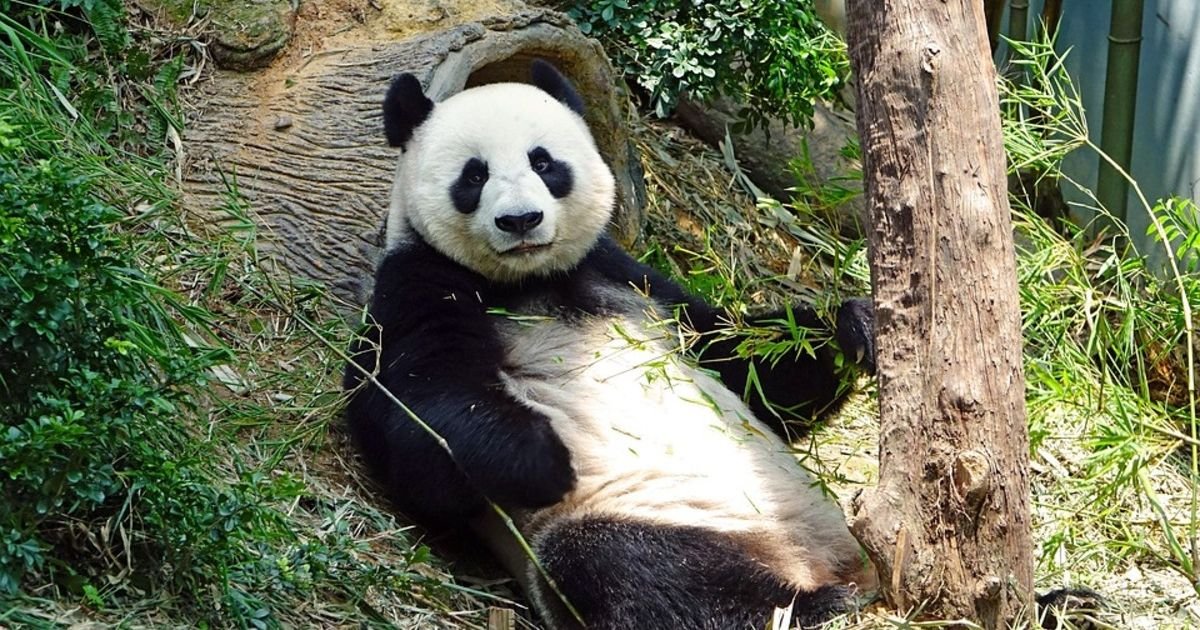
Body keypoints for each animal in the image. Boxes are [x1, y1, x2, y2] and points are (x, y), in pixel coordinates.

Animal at [344, 60, 880, 629]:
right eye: (474, 175)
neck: (530, 280)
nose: (520, 221)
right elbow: (414, 416)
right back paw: (809, 605)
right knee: (632, 567)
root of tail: (812, 562)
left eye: (543, 162)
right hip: (653, 511)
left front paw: (855, 326)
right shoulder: (418, 283)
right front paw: (545, 461)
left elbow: (747, 365)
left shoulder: (630, 279)